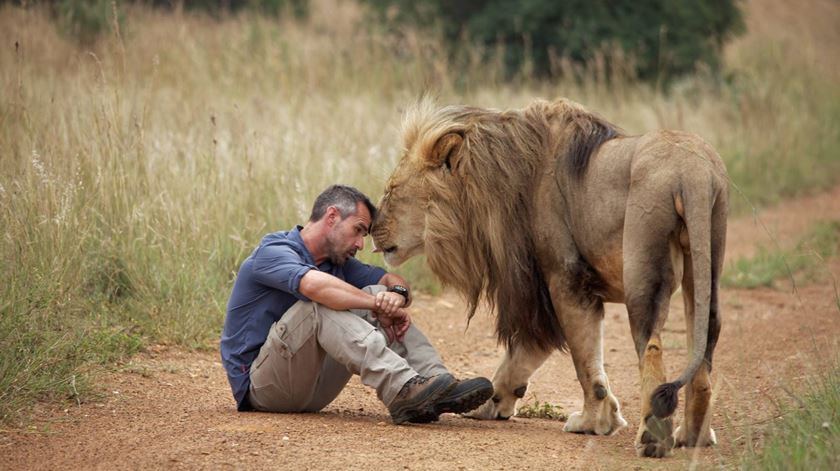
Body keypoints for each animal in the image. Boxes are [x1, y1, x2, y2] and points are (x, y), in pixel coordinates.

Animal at [374, 98, 728, 458]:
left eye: (391, 190)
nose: (372, 227)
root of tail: (693, 172)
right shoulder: (544, 292)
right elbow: (521, 357)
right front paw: (487, 402)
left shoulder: (565, 279)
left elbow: (584, 361)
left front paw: (593, 421)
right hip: (704, 267)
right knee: (704, 343)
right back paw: (693, 435)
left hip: (643, 271)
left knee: (652, 348)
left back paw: (653, 439)